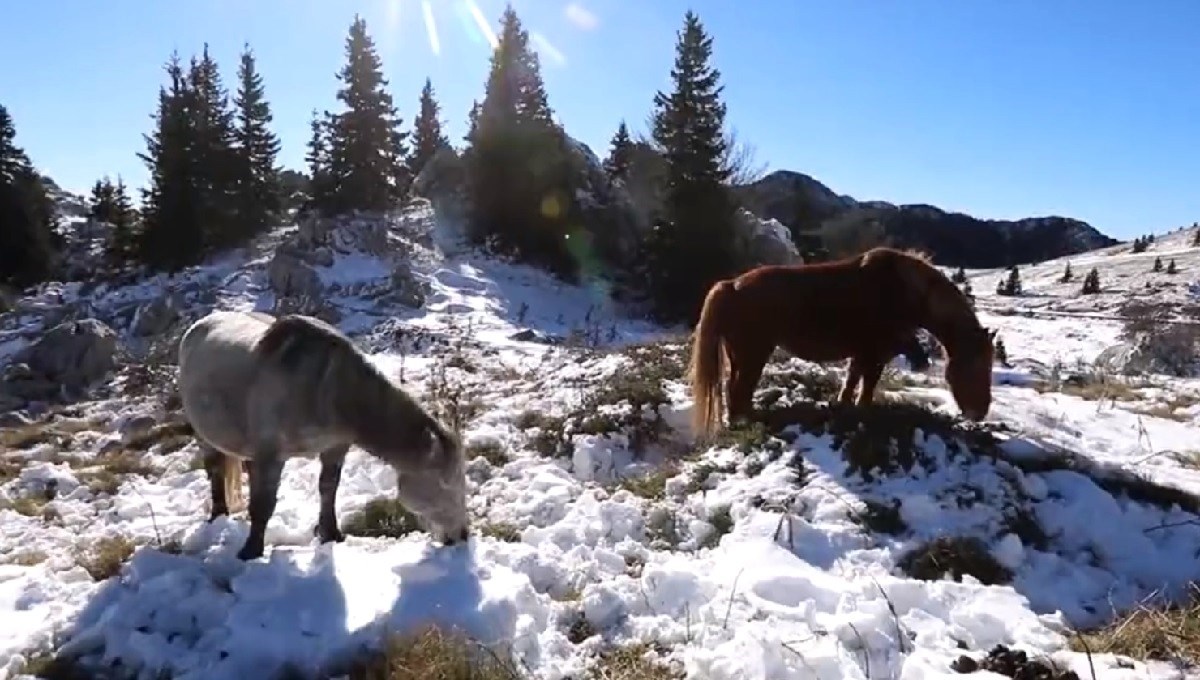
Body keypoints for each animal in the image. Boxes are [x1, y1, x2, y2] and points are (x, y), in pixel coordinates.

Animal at [177, 311, 468, 561]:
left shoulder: (335, 447)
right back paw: (218, 516)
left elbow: (328, 489)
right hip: (204, 435)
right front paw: (251, 551)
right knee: (215, 471)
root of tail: (200, 324)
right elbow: (265, 503)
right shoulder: (272, 455)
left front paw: (330, 534)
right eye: (447, 485)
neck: (324, 388)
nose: (462, 537)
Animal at [691, 248, 998, 436]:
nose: (980, 413)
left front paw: (843, 406)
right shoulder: (876, 353)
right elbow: (868, 385)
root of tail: (731, 286)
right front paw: (863, 412)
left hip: (740, 355)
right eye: (976, 366)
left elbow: (852, 381)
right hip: (753, 354)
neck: (903, 292)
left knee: (735, 389)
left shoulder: (862, 353)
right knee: (739, 389)